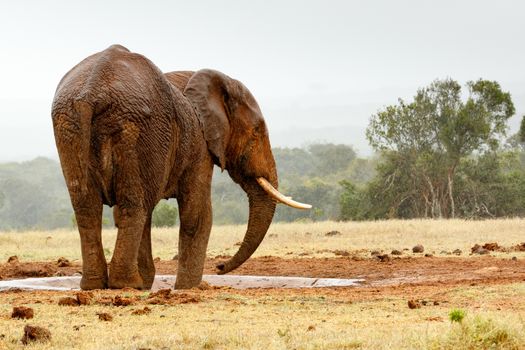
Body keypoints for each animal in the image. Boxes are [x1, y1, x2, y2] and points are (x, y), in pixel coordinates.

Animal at [51, 43, 310, 290]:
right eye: (256, 132)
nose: (220, 267)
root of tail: (91, 92)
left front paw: (151, 284)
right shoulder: (200, 144)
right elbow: (198, 214)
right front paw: (189, 287)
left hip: (69, 127)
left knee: (89, 207)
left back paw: (97, 285)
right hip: (135, 128)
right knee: (133, 207)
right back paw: (126, 284)